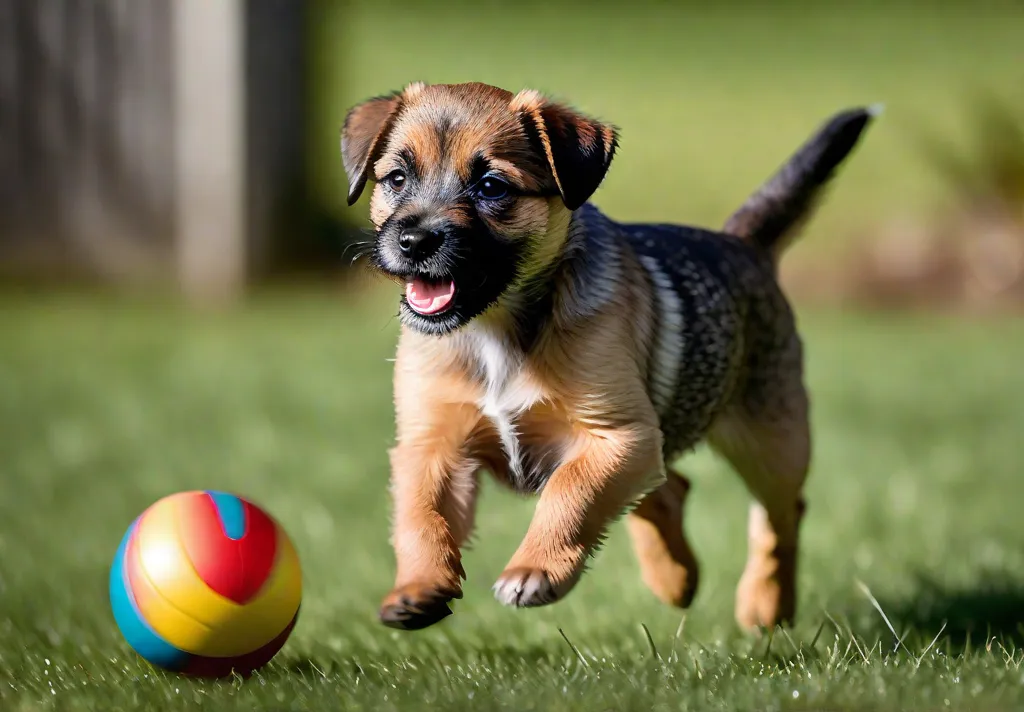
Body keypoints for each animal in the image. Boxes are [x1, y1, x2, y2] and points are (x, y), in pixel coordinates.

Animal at [339, 80, 876, 631]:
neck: (497, 328)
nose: (414, 240)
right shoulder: (432, 444)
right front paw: (417, 587)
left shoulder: (616, 434)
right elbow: (420, 517)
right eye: (397, 178)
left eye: (491, 187)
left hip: (773, 442)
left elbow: (570, 493)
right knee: (671, 488)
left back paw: (766, 604)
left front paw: (534, 570)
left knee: (780, 514)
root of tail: (743, 244)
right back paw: (676, 578)